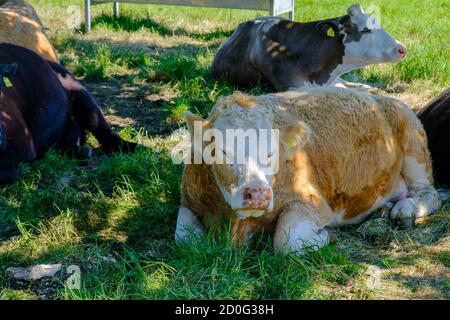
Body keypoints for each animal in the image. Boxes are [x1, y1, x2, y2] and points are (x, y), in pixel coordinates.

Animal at [0, 44, 137, 185]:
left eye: (1, 87)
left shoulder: (23, 140)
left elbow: (4, 171)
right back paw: (82, 151)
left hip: (81, 93)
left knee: (103, 130)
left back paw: (135, 147)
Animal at [174, 88, 442, 255]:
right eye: (222, 151)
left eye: (271, 153)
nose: (258, 193)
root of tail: (385, 99)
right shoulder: (188, 201)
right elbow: (185, 237)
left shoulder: (313, 202)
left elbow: (287, 240)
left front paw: (327, 236)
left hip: (415, 149)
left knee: (430, 194)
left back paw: (404, 210)